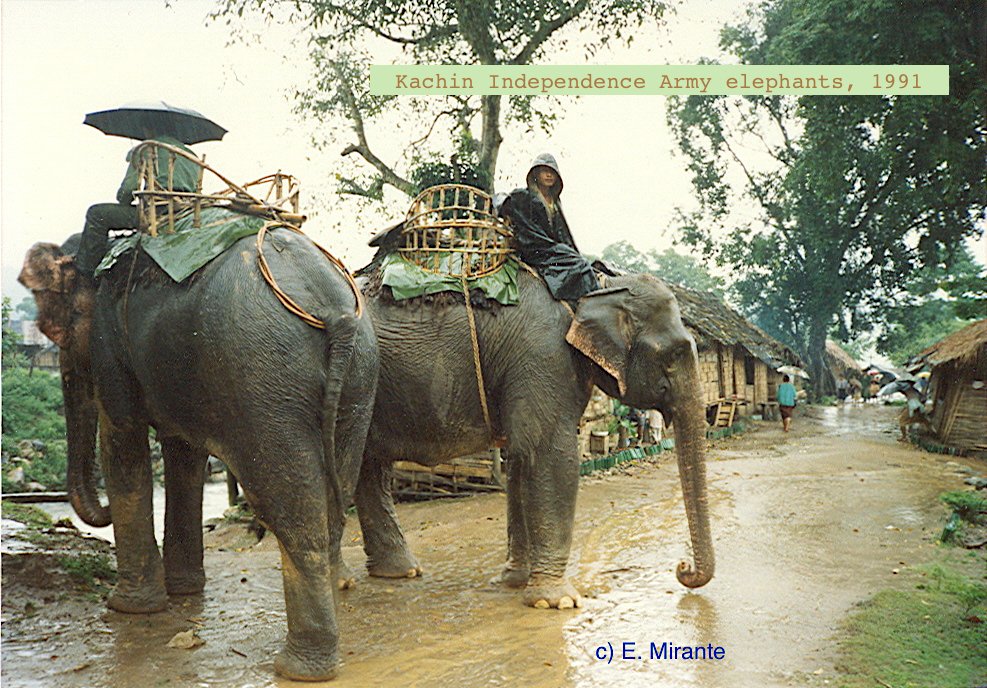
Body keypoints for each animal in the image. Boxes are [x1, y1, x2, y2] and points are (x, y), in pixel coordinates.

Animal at [19, 230, 378, 682]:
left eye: (56, 330)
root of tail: (334, 311)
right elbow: (183, 452)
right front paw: (184, 590)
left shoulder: (109, 345)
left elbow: (122, 438)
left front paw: (128, 607)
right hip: (359, 379)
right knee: (334, 500)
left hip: (264, 380)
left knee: (293, 509)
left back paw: (298, 668)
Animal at [355, 268, 714, 608]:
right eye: (674, 355)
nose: (682, 568)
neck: (598, 286)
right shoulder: (544, 357)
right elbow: (548, 454)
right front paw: (557, 601)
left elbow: (520, 458)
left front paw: (516, 580)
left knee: (368, 466)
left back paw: (400, 572)